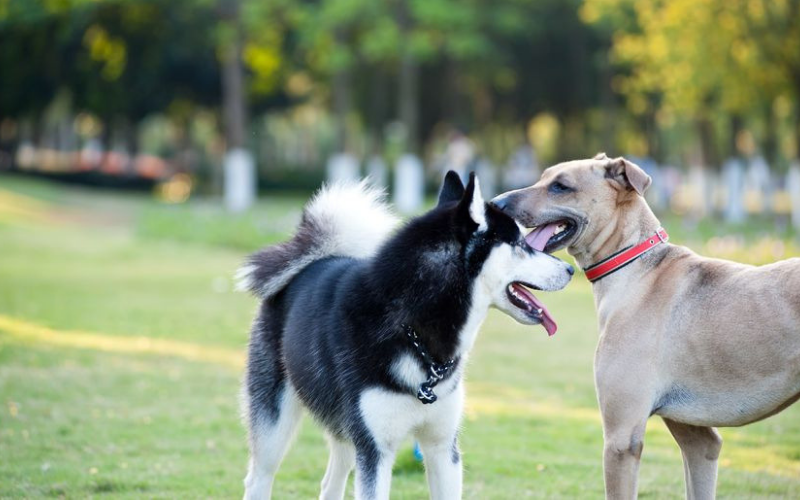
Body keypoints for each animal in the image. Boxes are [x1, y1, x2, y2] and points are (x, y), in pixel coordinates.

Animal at [490, 153, 800, 500]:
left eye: (561, 186)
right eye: (544, 177)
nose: (495, 203)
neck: (636, 268)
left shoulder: (622, 440)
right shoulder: (698, 441)